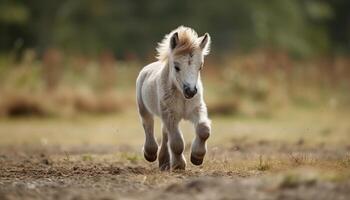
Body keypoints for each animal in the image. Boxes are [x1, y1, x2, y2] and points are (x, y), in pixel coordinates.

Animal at [135, 26, 211, 170]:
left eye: (200, 66)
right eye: (176, 66)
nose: (190, 91)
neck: (182, 97)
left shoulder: (197, 109)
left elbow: (204, 129)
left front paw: (197, 157)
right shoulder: (170, 114)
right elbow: (177, 142)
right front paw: (179, 165)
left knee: (164, 133)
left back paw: (164, 162)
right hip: (144, 108)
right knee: (148, 125)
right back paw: (150, 154)